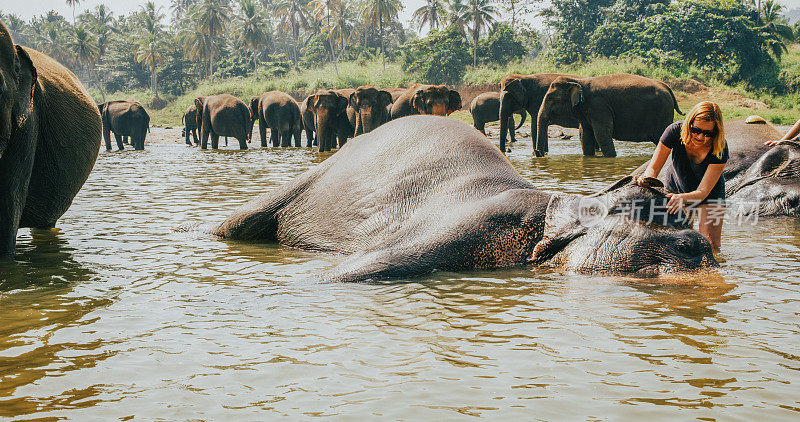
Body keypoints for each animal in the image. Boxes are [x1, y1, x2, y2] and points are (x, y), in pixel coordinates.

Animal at [536, 73, 684, 157]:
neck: (579, 81)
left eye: (550, 99)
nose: (540, 153)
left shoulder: (599, 107)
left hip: (662, 113)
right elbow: (585, 136)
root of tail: (667, 88)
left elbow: (602, 134)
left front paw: (611, 157)